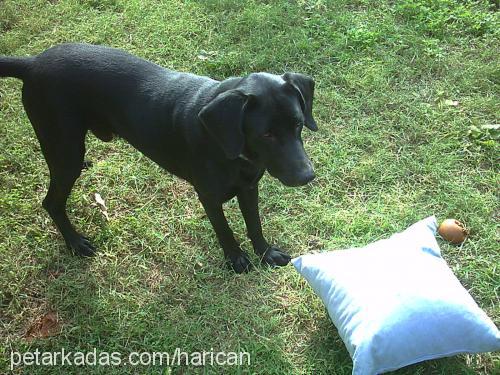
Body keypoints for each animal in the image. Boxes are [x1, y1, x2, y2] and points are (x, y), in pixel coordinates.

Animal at [0, 44, 316, 274]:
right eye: (267, 135)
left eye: (299, 124)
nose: (307, 176)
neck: (230, 149)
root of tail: (32, 63)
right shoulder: (209, 197)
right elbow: (224, 230)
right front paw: (236, 259)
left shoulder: (249, 188)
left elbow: (254, 224)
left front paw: (265, 252)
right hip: (64, 152)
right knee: (51, 202)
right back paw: (75, 242)